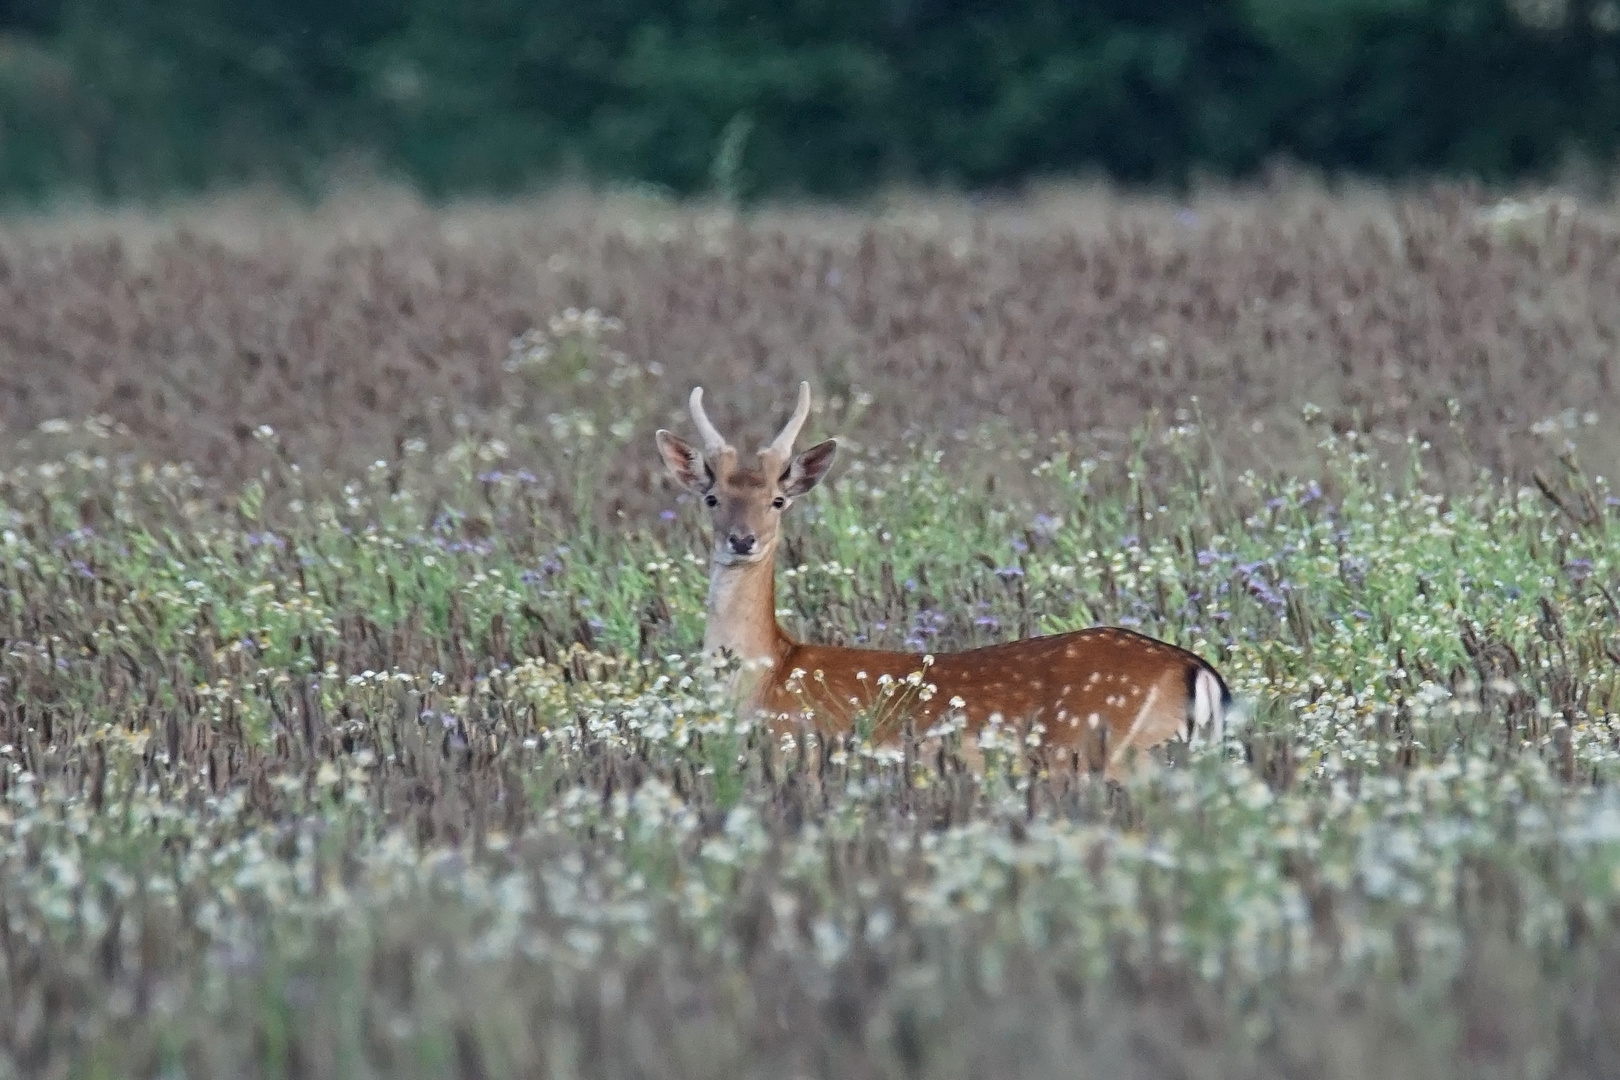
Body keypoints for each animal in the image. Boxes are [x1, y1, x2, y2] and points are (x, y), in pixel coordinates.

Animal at [651, 380, 1231, 777]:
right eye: (711, 498)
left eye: (778, 499)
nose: (742, 540)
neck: (767, 677)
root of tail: (1201, 672)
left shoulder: (800, 754)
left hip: (1115, 755)